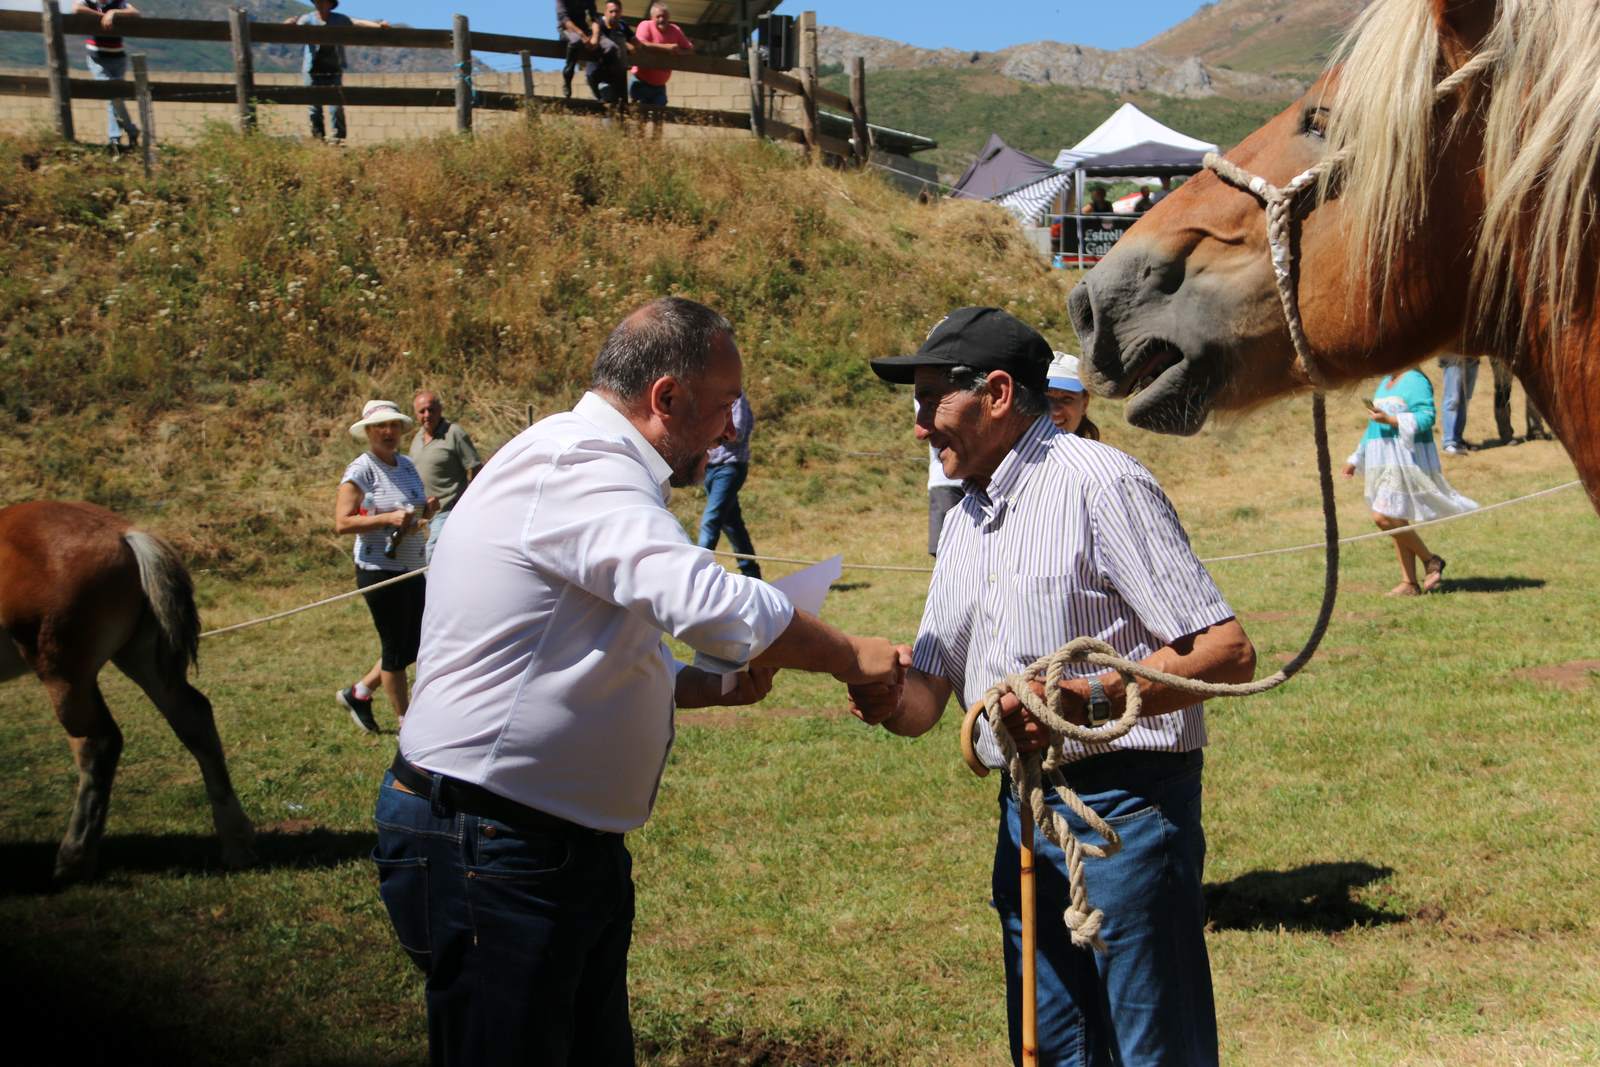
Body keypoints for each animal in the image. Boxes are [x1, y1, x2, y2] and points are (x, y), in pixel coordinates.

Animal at [0, 505, 254, 883]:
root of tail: (125, 533)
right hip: (142, 658)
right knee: (195, 719)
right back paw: (236, 841)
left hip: (64, 673)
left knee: (98, 742)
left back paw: (74, 858)